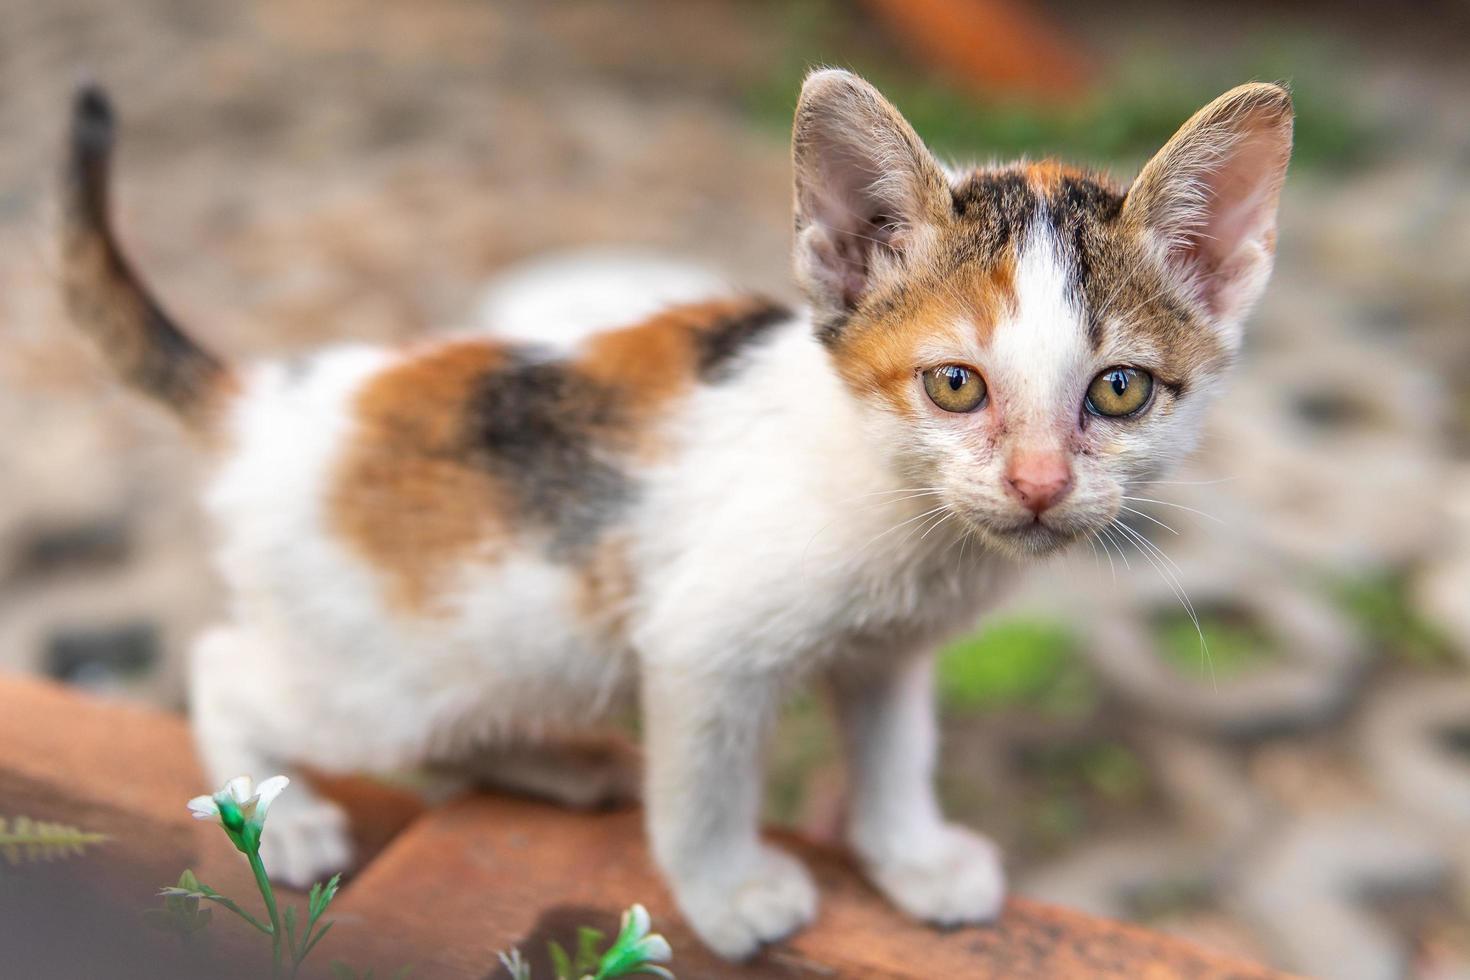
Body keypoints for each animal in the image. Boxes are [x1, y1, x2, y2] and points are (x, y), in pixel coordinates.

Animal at [63, 72, 1293, 963]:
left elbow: (894, 747)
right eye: (956, 385)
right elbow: (703, 785)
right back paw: (278, 817)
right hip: (383, 677)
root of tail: (265, 405)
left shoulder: (888, 652)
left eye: (1119, 391)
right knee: (230, 665)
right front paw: (731, 892)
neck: (910, 518)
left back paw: (555, 763)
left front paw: (911, 858)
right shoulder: (706, 646)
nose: (1040, 484)